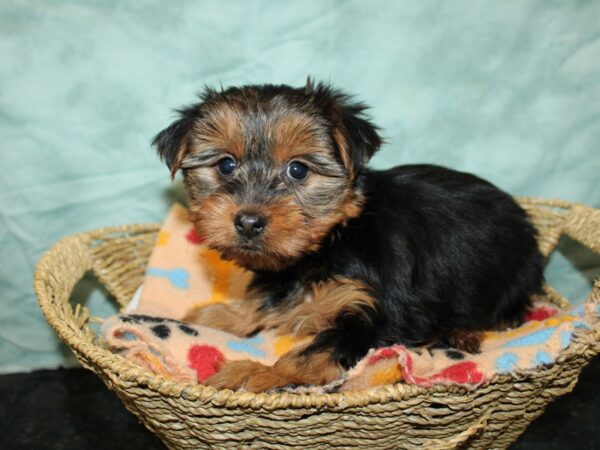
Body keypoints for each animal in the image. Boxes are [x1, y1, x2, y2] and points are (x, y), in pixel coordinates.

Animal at [152, 80, 548, 390]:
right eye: (225, 165)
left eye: (298, 170)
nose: (248, 221)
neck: (330, 242)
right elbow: (263, 300)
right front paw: (221, 316)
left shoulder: (383, 313)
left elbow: (314, 352)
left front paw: (257, 373)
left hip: (514, 275)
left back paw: (465, 331)